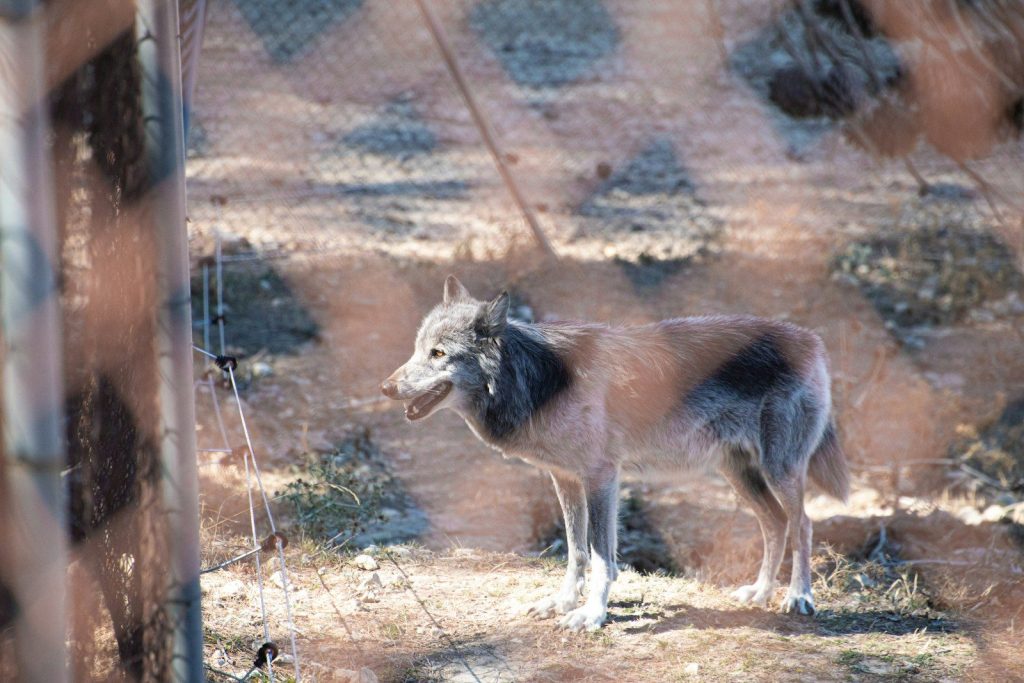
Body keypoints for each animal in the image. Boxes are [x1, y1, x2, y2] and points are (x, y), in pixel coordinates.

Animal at [381, 276, 849, 631]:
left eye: (439, 354)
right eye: (417, 349)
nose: (385, 387)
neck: (537, 380)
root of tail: (812, 340)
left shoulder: (601, 477)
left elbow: (603, 558)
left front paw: (591, 614)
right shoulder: (565, 479)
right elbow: (576, 552)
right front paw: (563, 603)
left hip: (779, 469)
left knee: (802, 524)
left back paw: (798, 596)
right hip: (740, 475)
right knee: (775, 523)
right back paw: (760, 593)